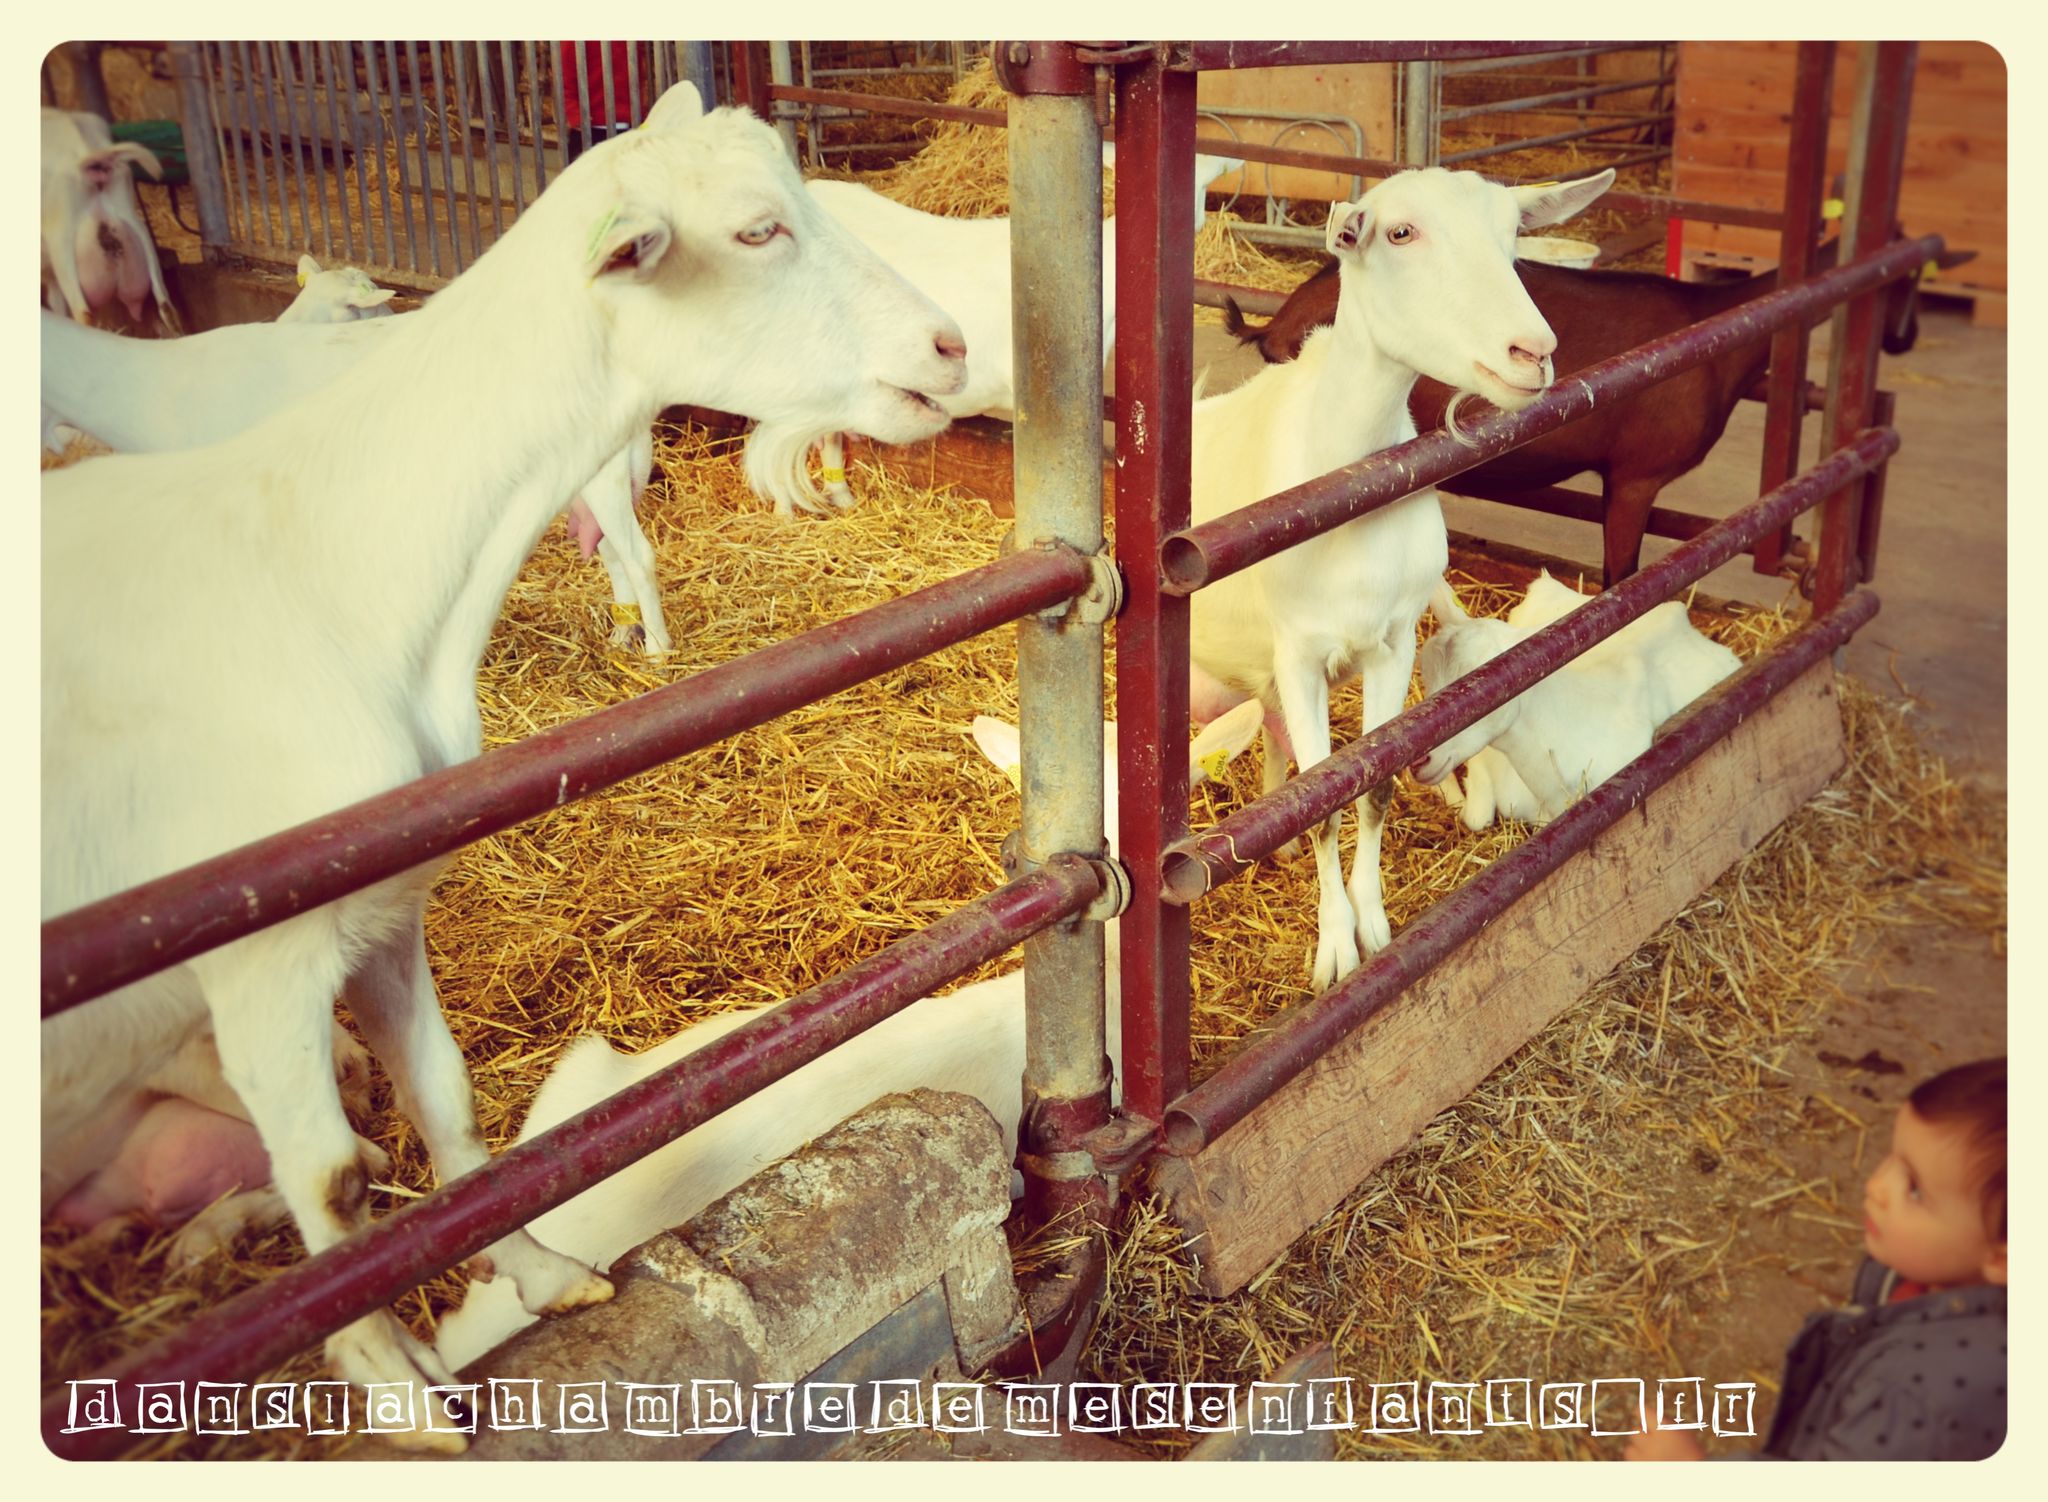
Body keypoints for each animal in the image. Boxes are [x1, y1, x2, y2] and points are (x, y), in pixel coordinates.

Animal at [1185, 167, 1613, 989]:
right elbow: (1324, 795)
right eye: (1400, 232)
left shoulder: (1392, 644)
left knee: (1278, 739)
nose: (1534, 351)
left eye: (1513, 233)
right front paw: (1334, 950)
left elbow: (1372, 782)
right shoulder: (1299, 652)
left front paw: (1375, 926)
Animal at [1223, 235, 1968, 583]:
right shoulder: (1636, 476)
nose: (1904, 339)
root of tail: (1281, 321)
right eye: (1904, 278)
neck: (1718, 327)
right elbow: (1620, 581)